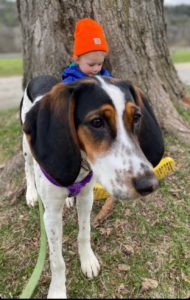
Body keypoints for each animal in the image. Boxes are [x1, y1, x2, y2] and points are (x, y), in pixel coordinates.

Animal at [20, 75, 164, 298]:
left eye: (137, 117)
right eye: (97, 122)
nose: (149, 184)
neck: (80, 164)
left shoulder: (87, 198)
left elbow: (84, 233)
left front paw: (87, 260)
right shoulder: (50, 215)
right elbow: (57, 261)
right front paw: (58, 290)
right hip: (26, 147)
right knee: (27, 168)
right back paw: (31, 195)